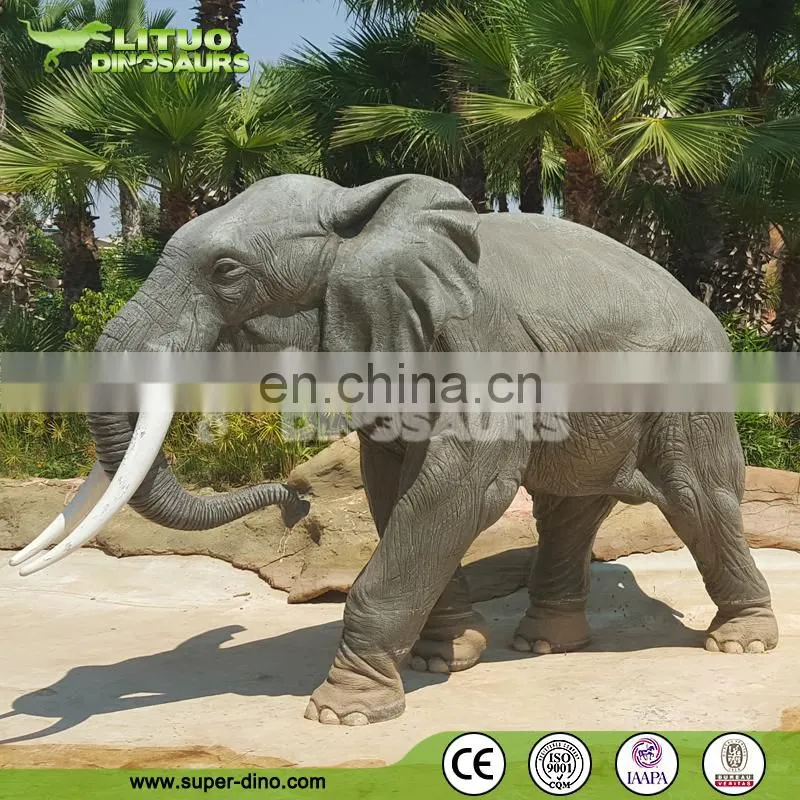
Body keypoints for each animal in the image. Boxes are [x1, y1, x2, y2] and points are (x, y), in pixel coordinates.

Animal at [11, 173, 778, 726]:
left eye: (226, 270)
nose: (292, 500)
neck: (359, 210)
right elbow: (393, 482)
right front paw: (447, 659)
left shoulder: (480, 337)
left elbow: (460, 488)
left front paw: (341, 713)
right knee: (568, 506)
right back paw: (544, 643)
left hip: (687, 382)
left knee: (695, 496)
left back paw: (741, 642)